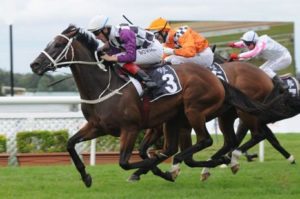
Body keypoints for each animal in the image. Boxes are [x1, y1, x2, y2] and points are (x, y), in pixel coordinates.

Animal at [30, 24, 274, 187]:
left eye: (59, 44)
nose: (35, 64)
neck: (105, 87)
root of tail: (217, 79)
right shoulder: (98, 126)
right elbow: (70, 144)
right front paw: (86, 176)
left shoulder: (131, 128)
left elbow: (127, 162)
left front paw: (156, 170)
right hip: (192, 117)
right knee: (214, 144)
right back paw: (217, 162)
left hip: (198, 111)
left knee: (212, 140)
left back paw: (222, 160)